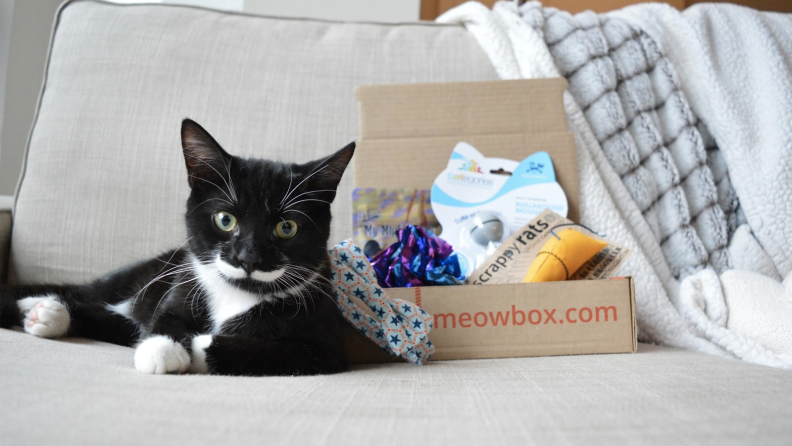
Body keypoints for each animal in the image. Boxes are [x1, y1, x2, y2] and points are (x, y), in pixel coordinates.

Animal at [0, 119, 352, 376]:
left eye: (286, 228)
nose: (248, 258)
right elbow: (164, 317)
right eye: (225, 220)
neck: (236, 293)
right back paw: (37, 306)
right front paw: (163, 347)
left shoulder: (325, 347)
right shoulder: (184, 285)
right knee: (90, 296)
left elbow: (265, 349)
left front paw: (191, 347)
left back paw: (44, 313)